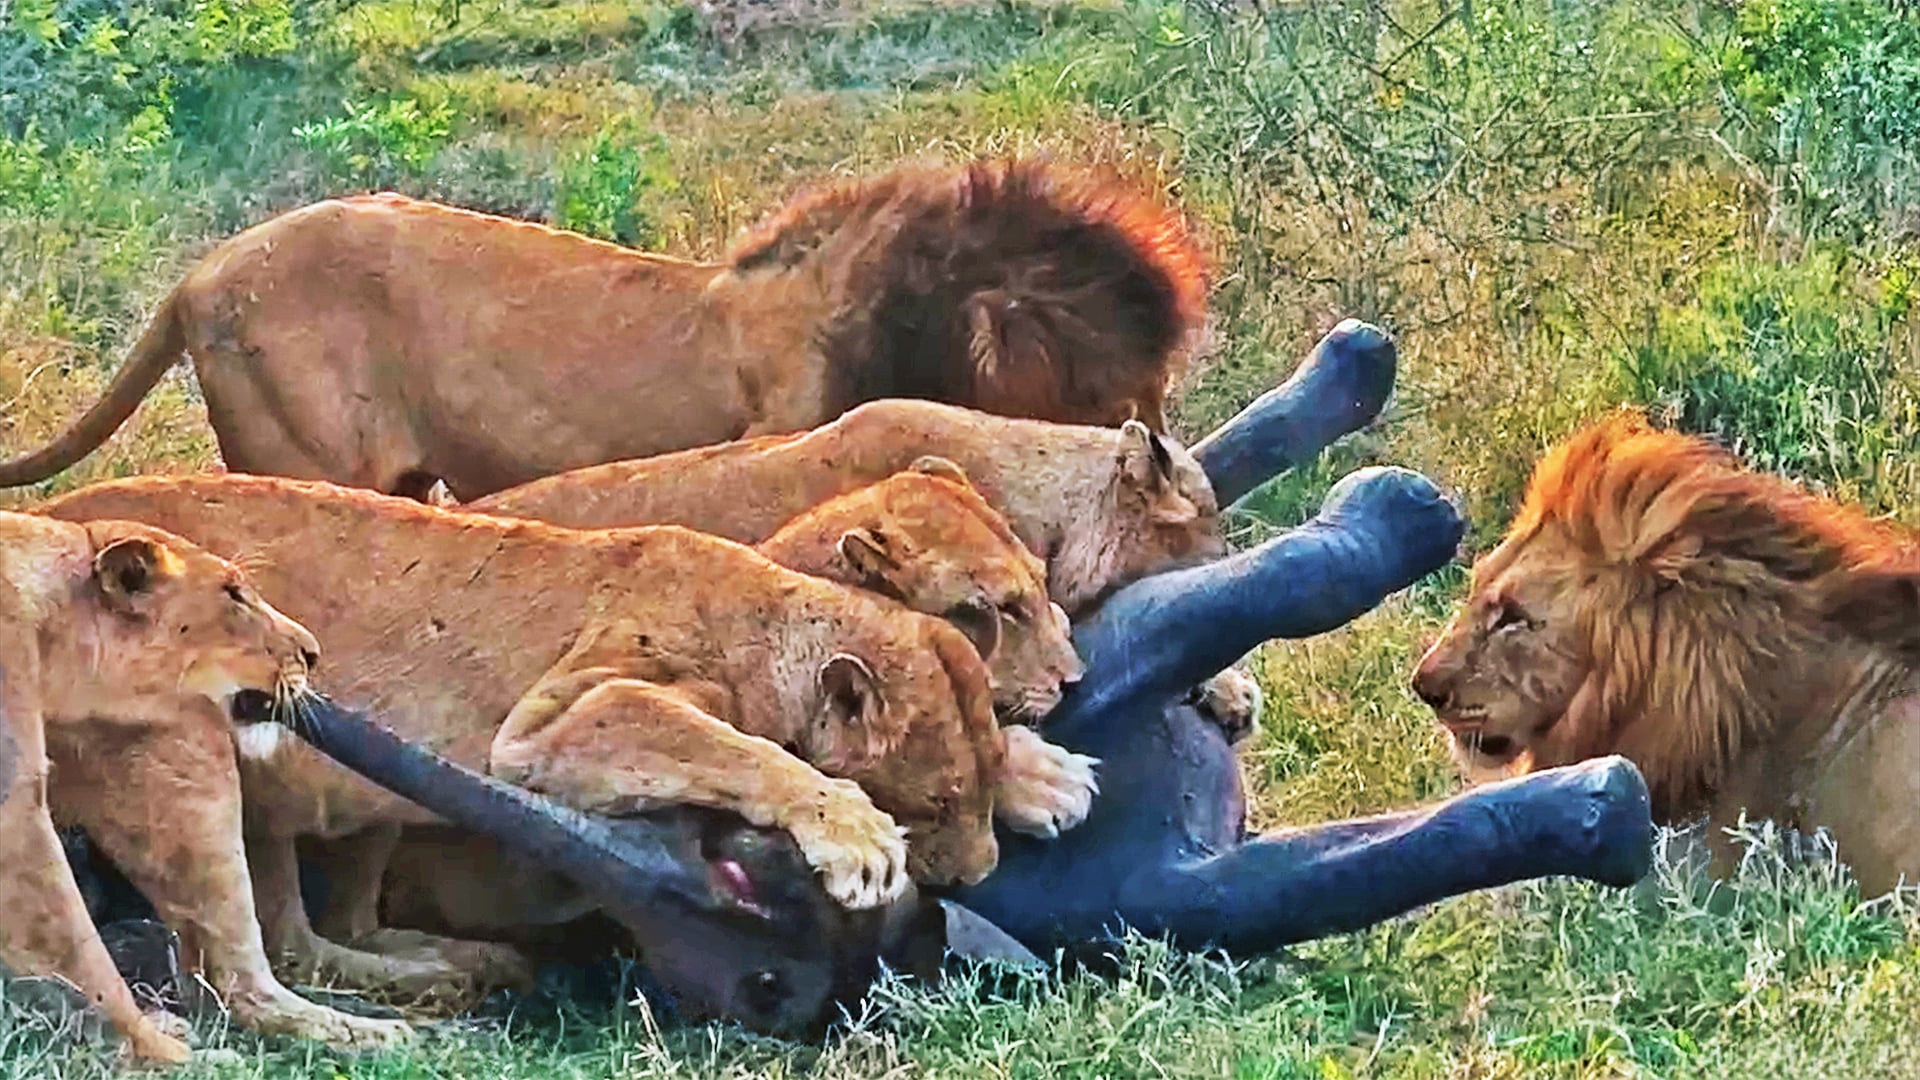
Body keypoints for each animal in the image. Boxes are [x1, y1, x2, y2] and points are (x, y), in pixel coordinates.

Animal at [40, 474, 1099, 1000]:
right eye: (929, 807)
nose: (975, 879)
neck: (762, 604)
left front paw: (1043, 775)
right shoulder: (556, 720)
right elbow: (738, 748)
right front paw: (855, 837)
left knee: (311, 929)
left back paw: (449, 967)